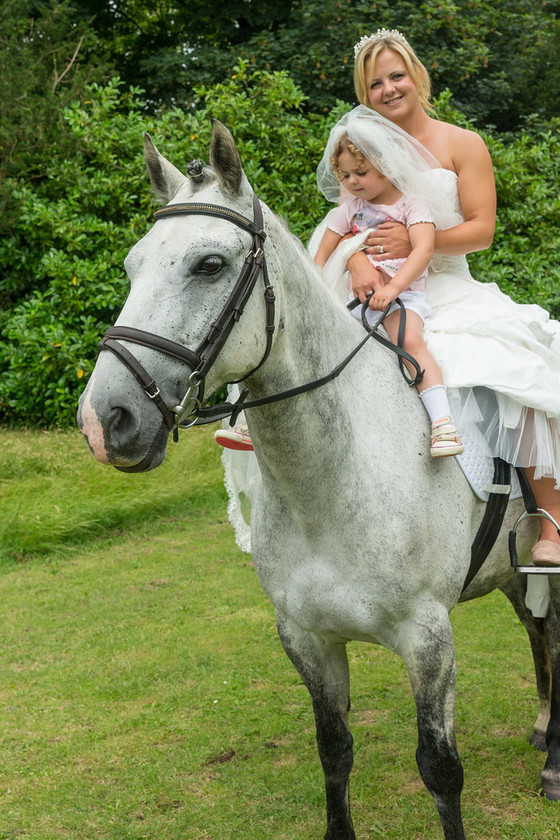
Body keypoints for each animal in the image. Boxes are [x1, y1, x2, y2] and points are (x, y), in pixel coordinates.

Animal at [77, 120, 560, 840]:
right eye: (133, 265)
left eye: (209, 265)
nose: (104, 421)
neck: (329, 485)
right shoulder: (307, 639)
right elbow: (334, 751)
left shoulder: (428, 640)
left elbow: (441, 771)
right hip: (513, 570)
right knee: (541, 632)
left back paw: (553, 764)